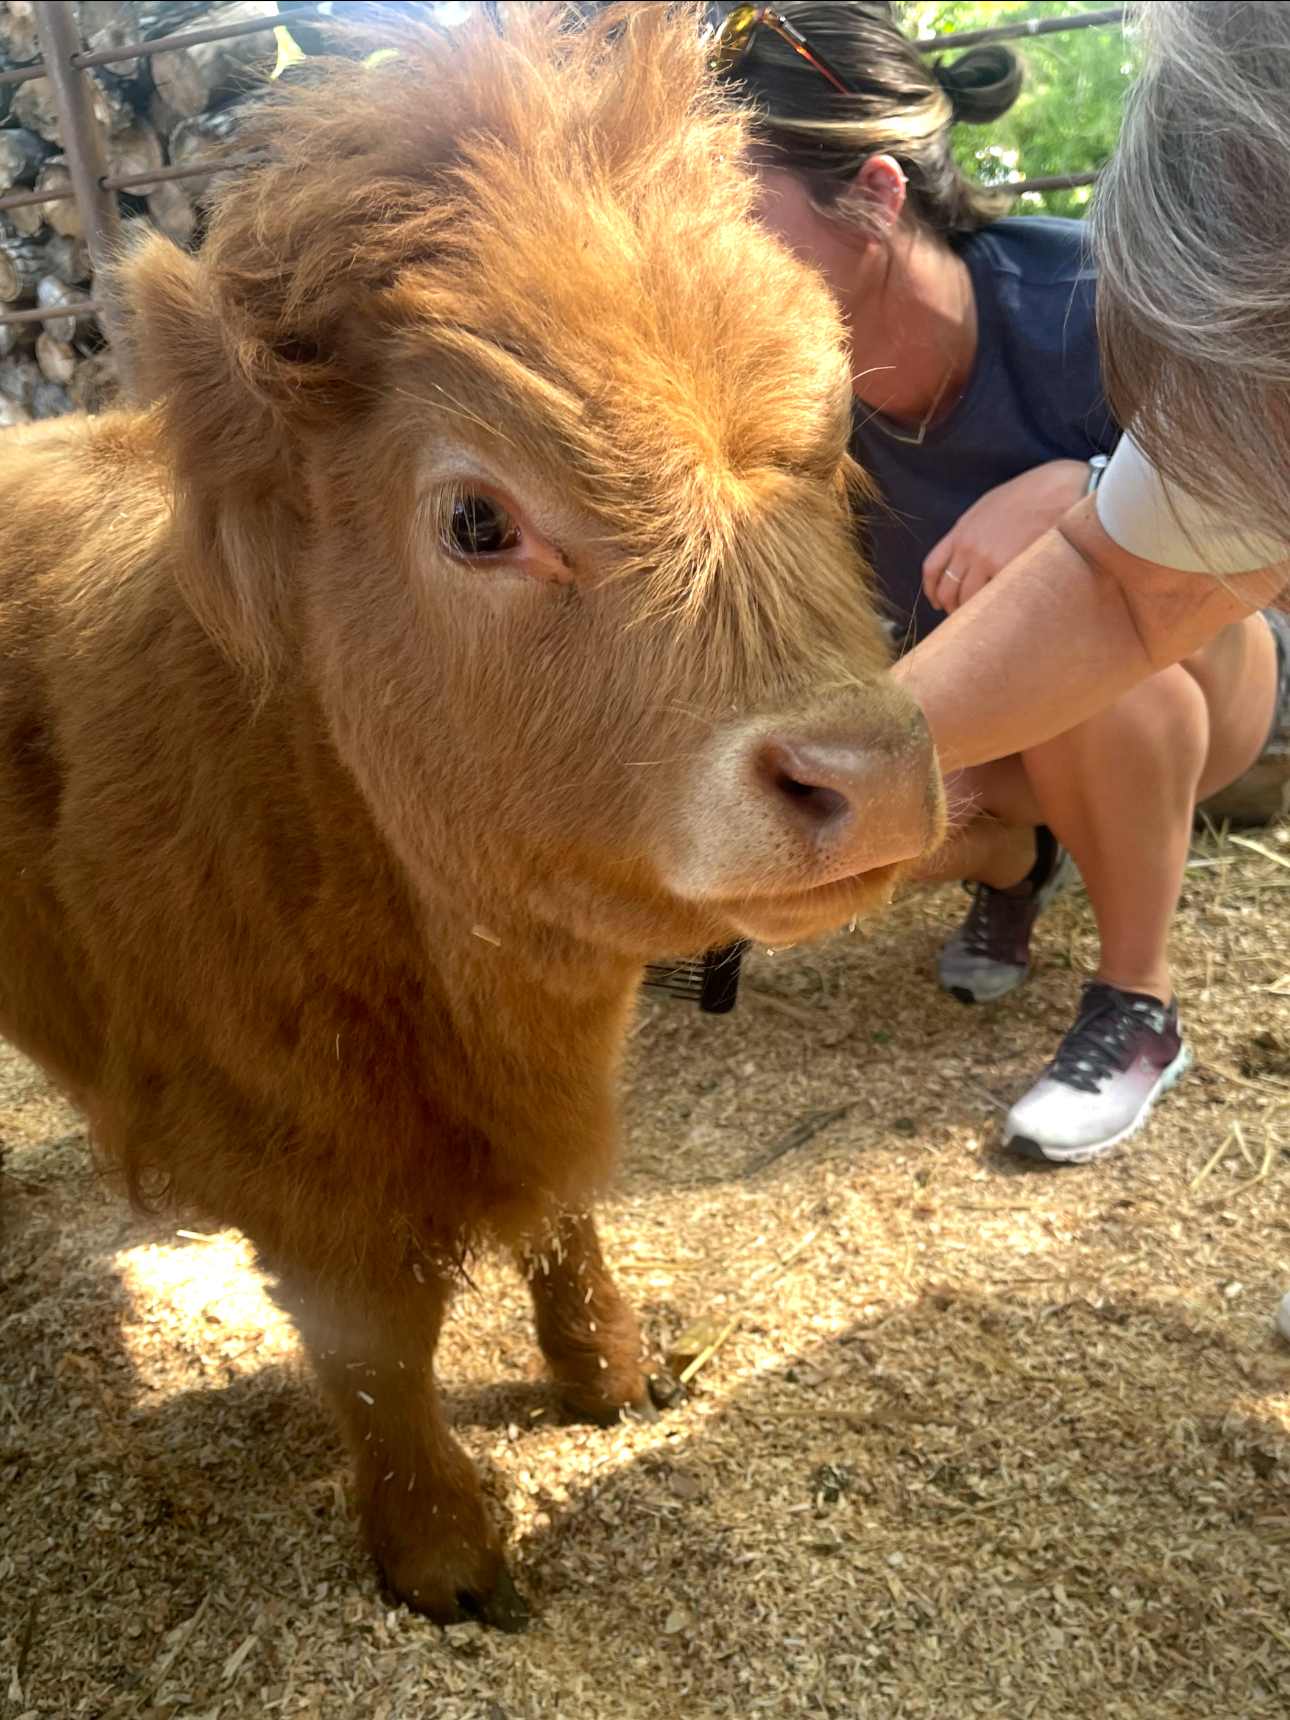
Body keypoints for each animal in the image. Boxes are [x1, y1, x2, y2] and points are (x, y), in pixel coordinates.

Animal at [0, 4, 941, 1626]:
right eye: (475, 518)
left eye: (826, 441)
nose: (867, 770)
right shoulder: (296, 1148)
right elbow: (378, 1347)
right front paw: (441, 1552)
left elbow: (565, 1212)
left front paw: (609, 1373)